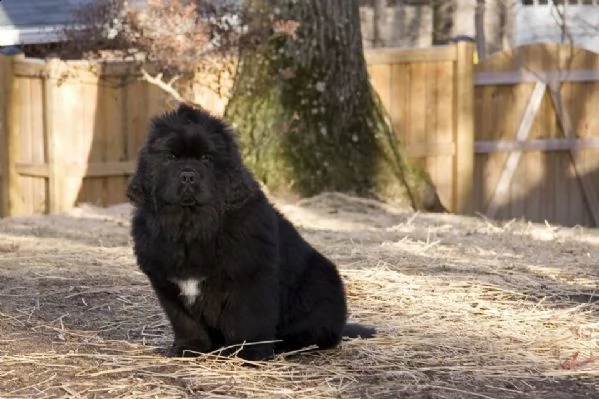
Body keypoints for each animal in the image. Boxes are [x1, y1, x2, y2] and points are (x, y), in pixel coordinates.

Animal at [126, 104, 376, 360]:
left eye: (206, 158)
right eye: (170, 157)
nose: (188, 175)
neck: (192, 226)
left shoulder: (249, 277)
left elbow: (248, 319)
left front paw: (250, 354)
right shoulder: (168, 286)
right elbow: (185, 322)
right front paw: (189, 349)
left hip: (319, 280)